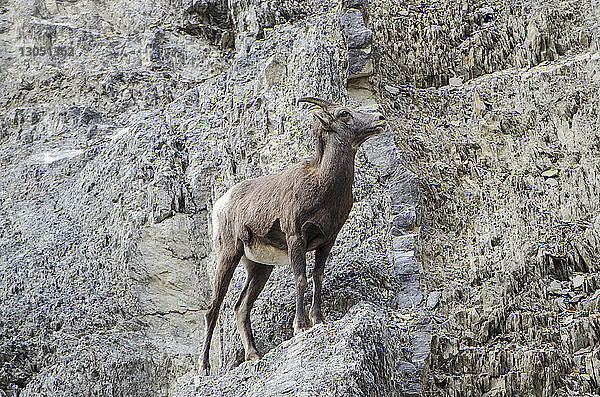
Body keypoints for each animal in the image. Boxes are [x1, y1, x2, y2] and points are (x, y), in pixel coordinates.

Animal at [202, 97, 386, 372]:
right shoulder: (295, 238)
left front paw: (318, 320)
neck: (322, 186)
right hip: (228, 255)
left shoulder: (327, 241)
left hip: (260, 267)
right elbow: (300, 279)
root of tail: (221, 204)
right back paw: (203, 369)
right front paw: (300, 327)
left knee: (241, 306)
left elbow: (317, 277)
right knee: (213, 308)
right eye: (344, 113)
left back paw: (254, 355)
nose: (380, 120)